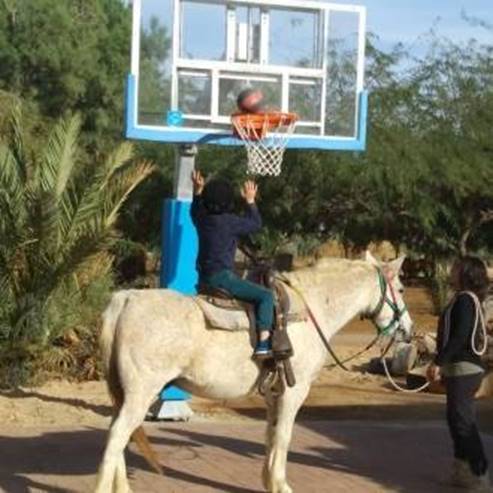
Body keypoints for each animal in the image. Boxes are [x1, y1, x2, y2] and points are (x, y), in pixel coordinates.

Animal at [95, 252, 412, 490]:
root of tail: (126, 299)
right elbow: (284, 436)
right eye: (402, 289)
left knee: (117, 433)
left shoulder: (275, 392)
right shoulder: (296, 390)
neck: (311, 310)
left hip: (124, 394)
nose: (408, 330)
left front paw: (269, 481)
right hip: (141, 393)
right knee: (117, 435)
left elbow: (271, 435)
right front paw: (281, 485)